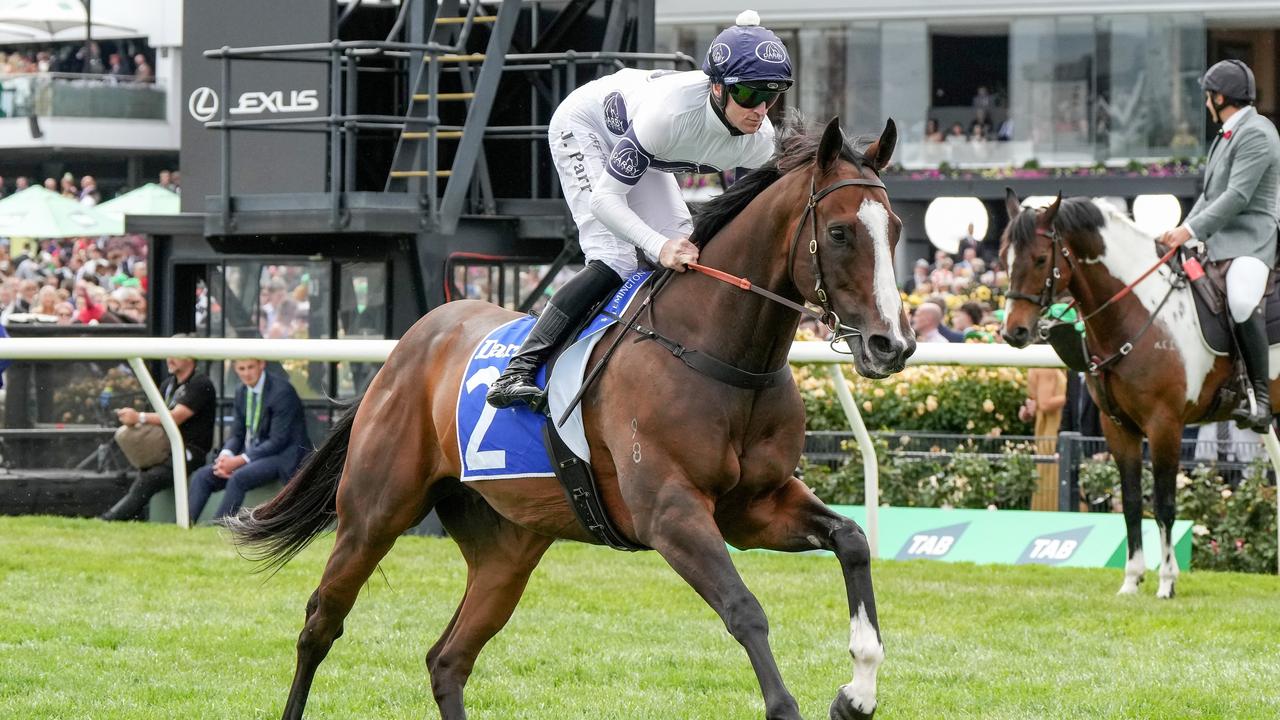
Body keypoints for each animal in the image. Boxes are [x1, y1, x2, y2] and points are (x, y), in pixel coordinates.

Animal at [225, 117, 916, 717]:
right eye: (840, 233)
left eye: (896, 229)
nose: (893, 345)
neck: (715, 353)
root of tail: (412, 342)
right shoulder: (670, 511)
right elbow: (745, 609)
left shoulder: (754, 507)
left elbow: (853, 540)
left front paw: (857, 692)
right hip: (373, 512)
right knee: (320, 624)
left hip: (508, 547)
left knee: (446, 659)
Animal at [1003, 189, 1274, 594]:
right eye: (1004, 257)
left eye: (1039, 259)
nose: (1013, 332)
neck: (1139, 311)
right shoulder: (1117, 426)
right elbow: (1131, 502)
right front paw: (1131, 580)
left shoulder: (1165, 425)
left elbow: (1164, 504)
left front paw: (1166, 582)